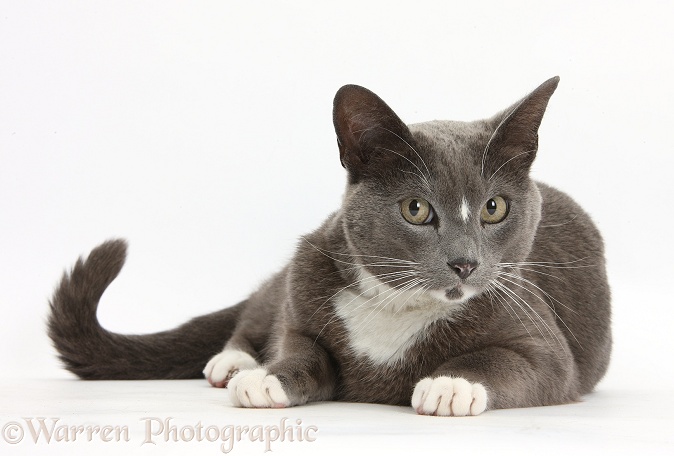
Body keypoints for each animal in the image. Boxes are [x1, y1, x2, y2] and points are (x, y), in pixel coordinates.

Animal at [50, 76, 612, 416]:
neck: (399, 303)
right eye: (416, 209)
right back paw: (233, 362)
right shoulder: (304, 289)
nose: (465, 263)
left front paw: (450, 383)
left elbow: (514, 362)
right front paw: (268, 378)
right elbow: (298, 347)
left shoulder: (539, 332)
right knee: (254, 314)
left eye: (494, 208)